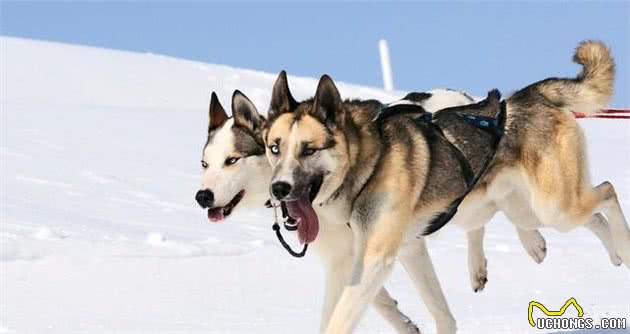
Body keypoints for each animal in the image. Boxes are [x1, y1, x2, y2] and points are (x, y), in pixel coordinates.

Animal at [264, 40, 628, 332]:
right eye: (274, 147)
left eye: (309, 149)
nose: (278, 189)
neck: (367, 162)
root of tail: (528, 96)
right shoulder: (391, 253)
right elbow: (440, 313)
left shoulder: (375, 259)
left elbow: (341, 319)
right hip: (534, 211)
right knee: (590, 216)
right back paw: (609, 253)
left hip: (555, 207)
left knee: (608, 190)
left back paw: (623, 247)